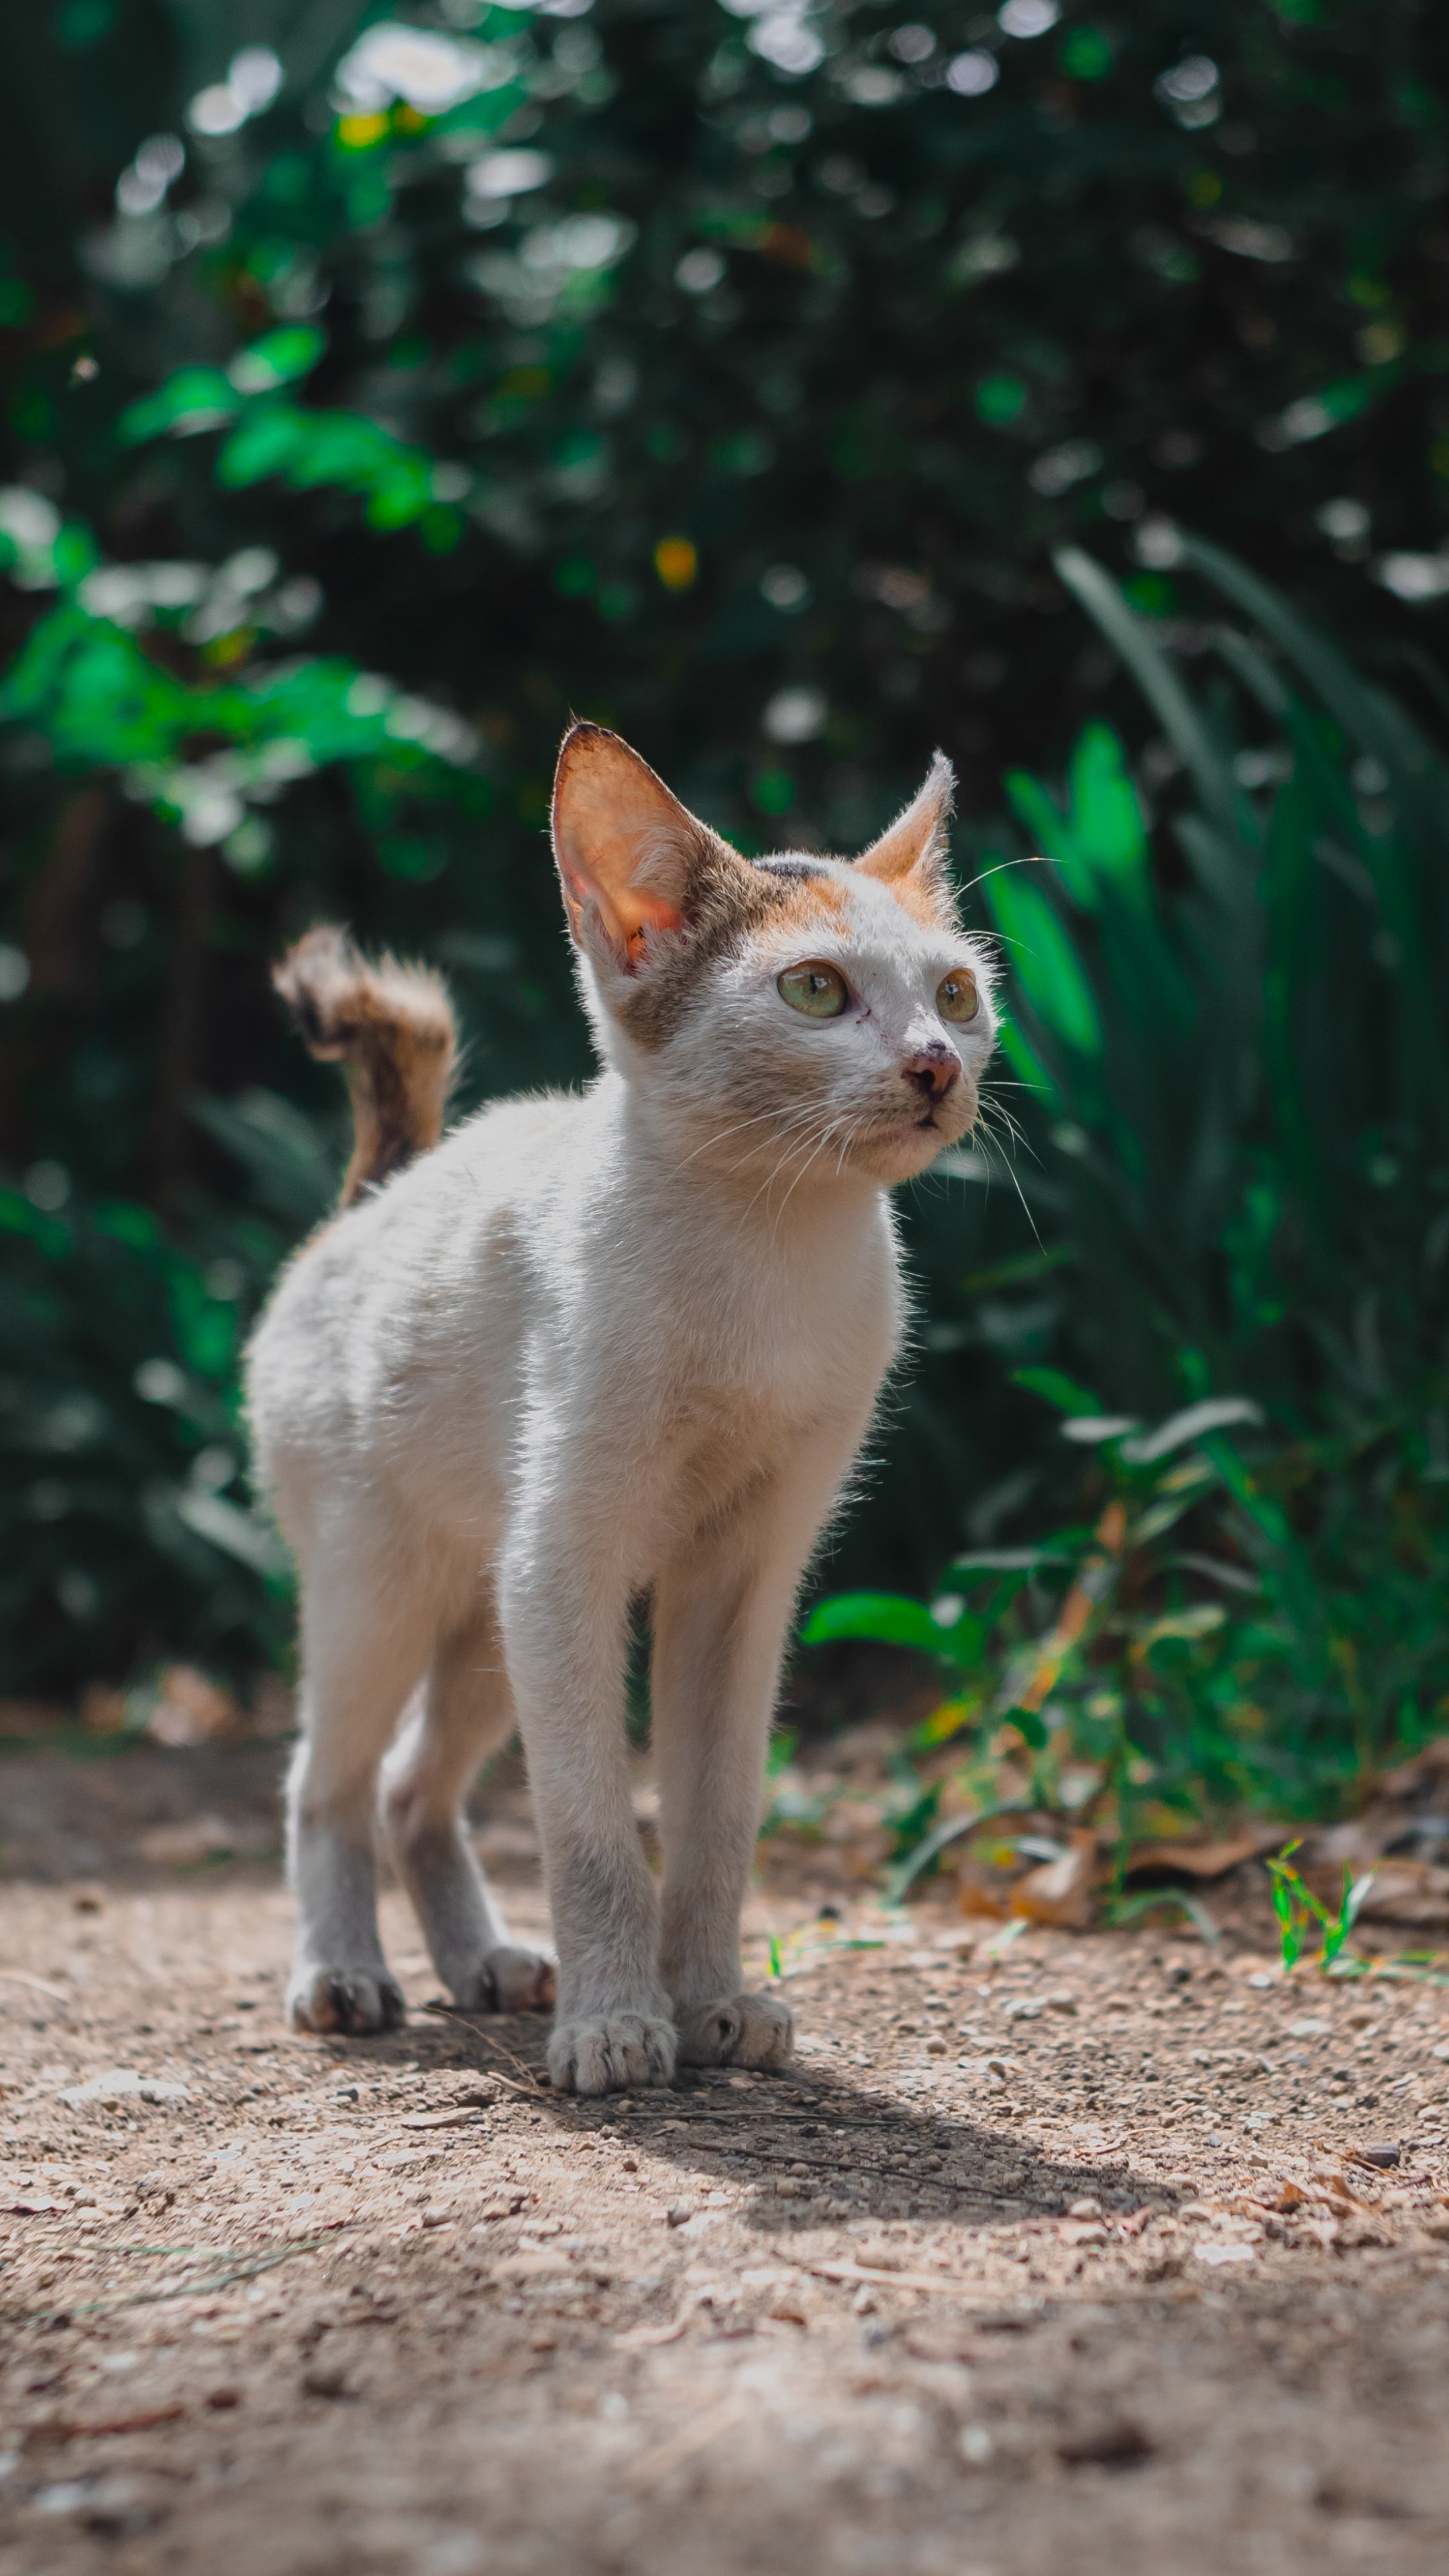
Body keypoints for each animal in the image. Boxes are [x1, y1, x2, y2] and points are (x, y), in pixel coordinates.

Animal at [246, 721, 996, 2094]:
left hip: (487, 1623)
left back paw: (485, 1963)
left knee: (411, 1789)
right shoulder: (568, 1564)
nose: (933, 1064)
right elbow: (593, 1831)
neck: (769, 1255)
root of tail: (379, 1192)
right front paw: (614, 2025)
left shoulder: (744, 1581)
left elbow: (715, 1820)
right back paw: (344, 1975)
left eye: (959, 995)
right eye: (817, 992)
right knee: (326, 1782)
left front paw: (710, 2002)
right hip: (389, 1588)